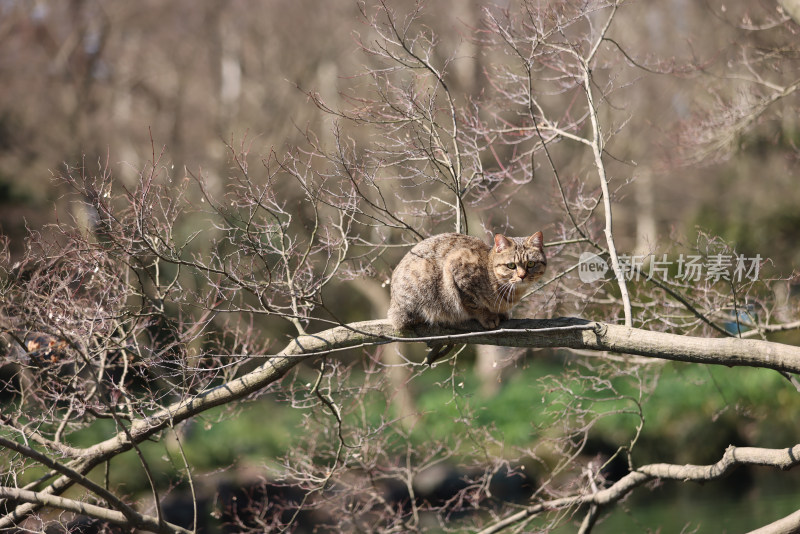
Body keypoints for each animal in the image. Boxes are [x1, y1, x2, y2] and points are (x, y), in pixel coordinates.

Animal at [386, 233, 544, 330]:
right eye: (511, 265)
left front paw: (502, 313)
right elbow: (473, 304)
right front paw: (487, 316)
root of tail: (393, 304)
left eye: (531, 264)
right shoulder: (457, 267)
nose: (522, 276)